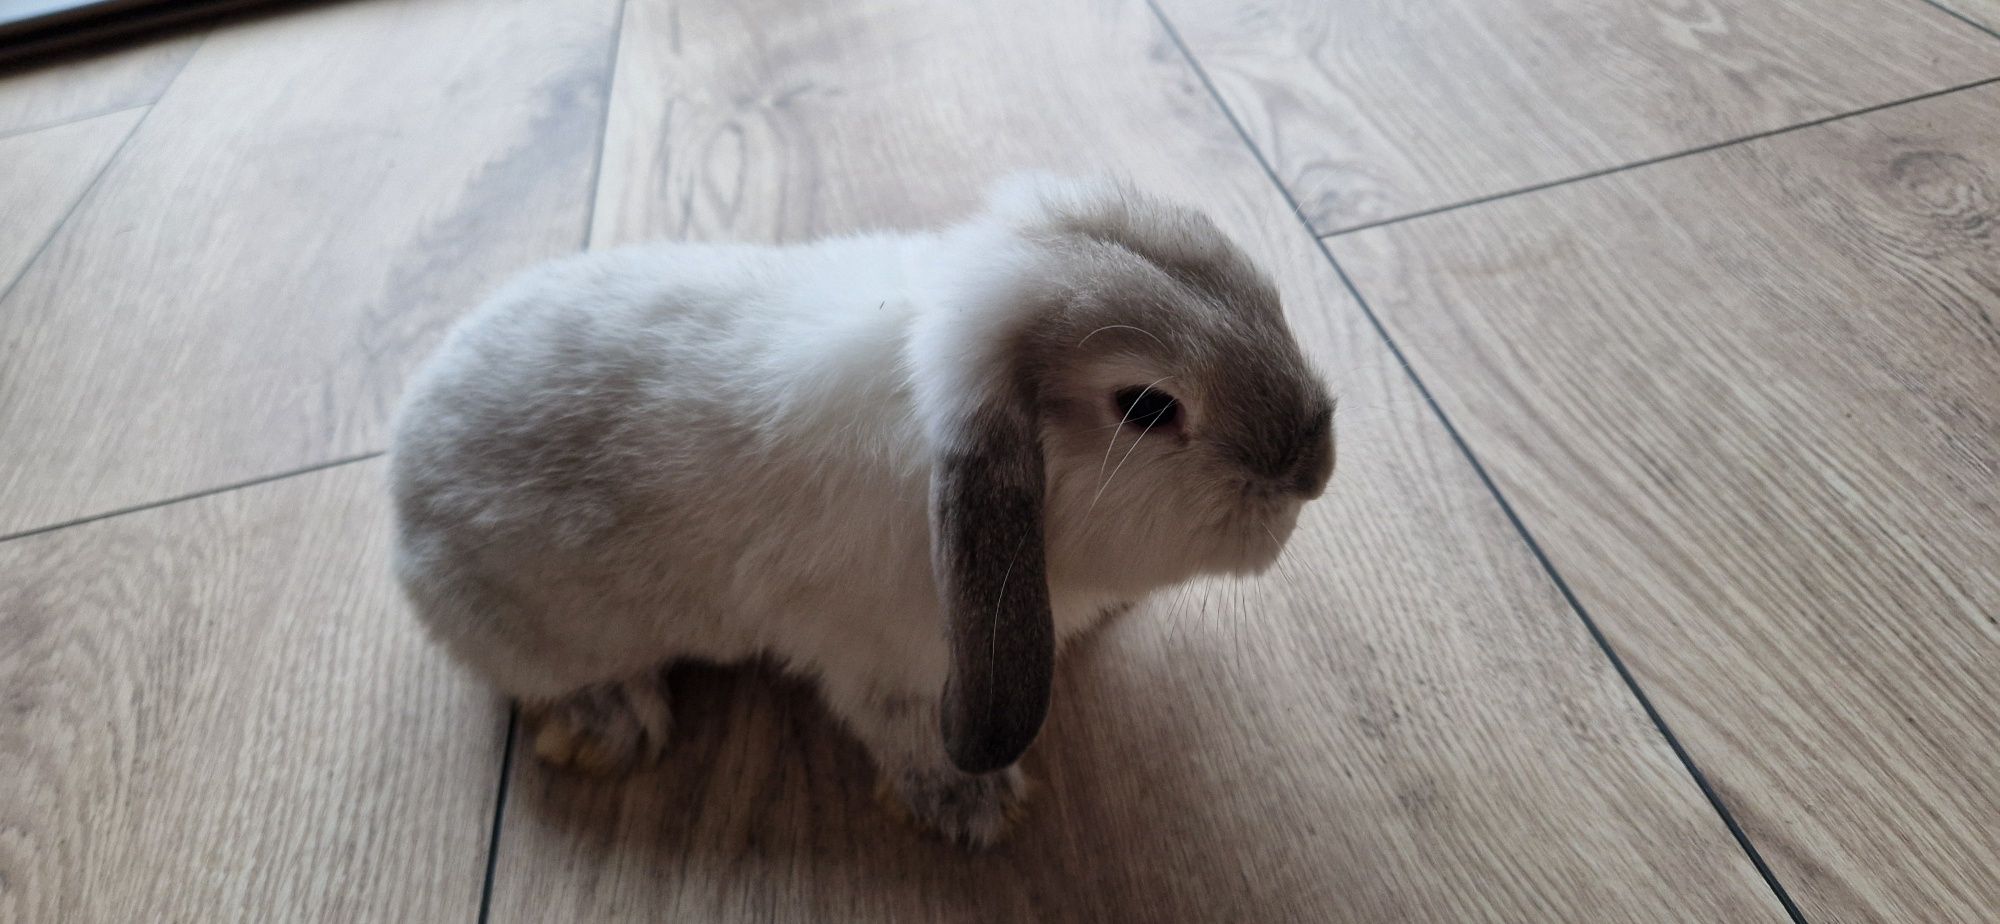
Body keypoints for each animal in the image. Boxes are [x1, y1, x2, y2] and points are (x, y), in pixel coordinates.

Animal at [384, 173, 1336, 844]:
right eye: (1146, 406)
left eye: (1259, 291)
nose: (1315, 468)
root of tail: (401, 476)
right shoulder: (881, 661)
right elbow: (906, 729)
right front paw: (972, 809)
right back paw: (607, 723)